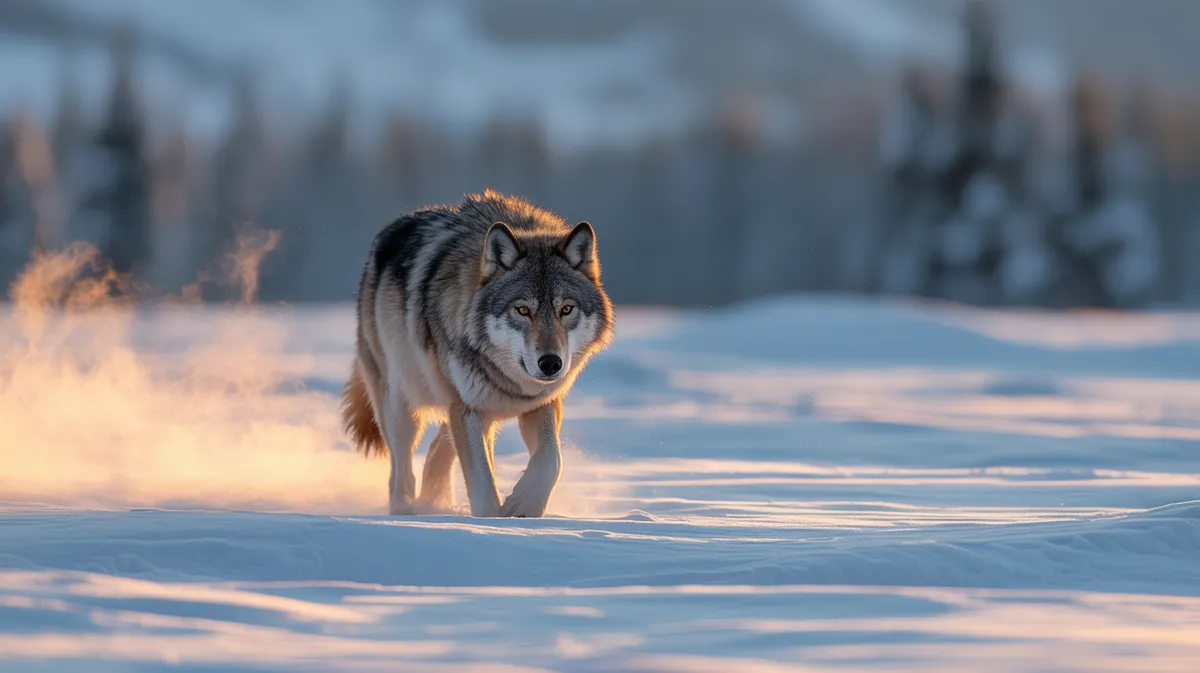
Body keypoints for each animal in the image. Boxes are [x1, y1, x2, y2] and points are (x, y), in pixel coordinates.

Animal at [341, 190, 614, 517]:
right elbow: (482, 483)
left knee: (436, 451)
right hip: (404, 407)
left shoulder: (539, 404)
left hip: (459, 410)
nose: (551, 363)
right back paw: (408, 512)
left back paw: (435, 505)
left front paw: (523, 506)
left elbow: (551, 460)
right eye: (523, 310)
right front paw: (489, 521)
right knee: (400, 472)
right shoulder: (468, 409)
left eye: (567, 309)